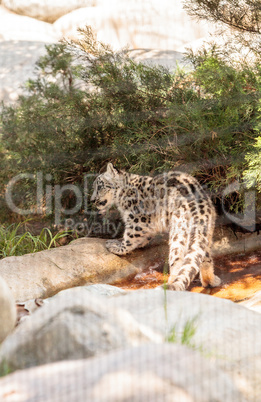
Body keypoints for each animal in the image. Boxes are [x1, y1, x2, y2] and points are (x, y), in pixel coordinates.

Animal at [90, 162, 220, 290]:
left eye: (100, 186)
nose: (92, 200)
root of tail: (200, 209)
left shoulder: (137, 219)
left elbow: (130, 238)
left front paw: (116, 246)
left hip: (178, 233)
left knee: (178, 260)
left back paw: (171, 283)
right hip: (205, 233)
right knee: (205, 257)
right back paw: (211, 281)